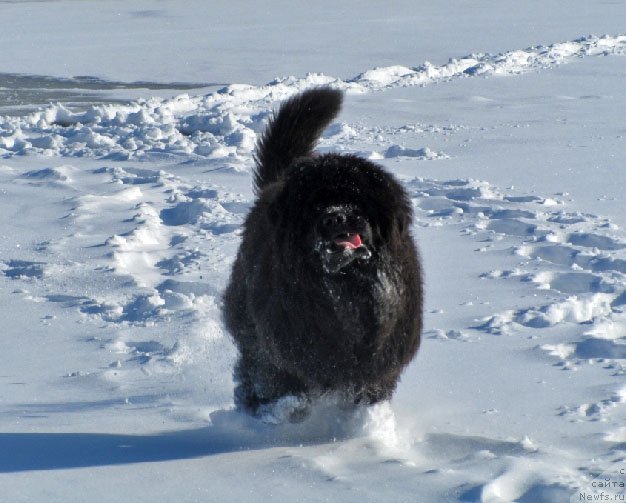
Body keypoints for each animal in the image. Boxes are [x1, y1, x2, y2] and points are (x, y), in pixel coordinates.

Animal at [222, 88, 422, 420]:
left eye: (357, 201)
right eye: (315, 205)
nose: (338, 216)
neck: (345, 290)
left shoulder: (382, 359)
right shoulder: (286, 350)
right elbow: (284, 381)